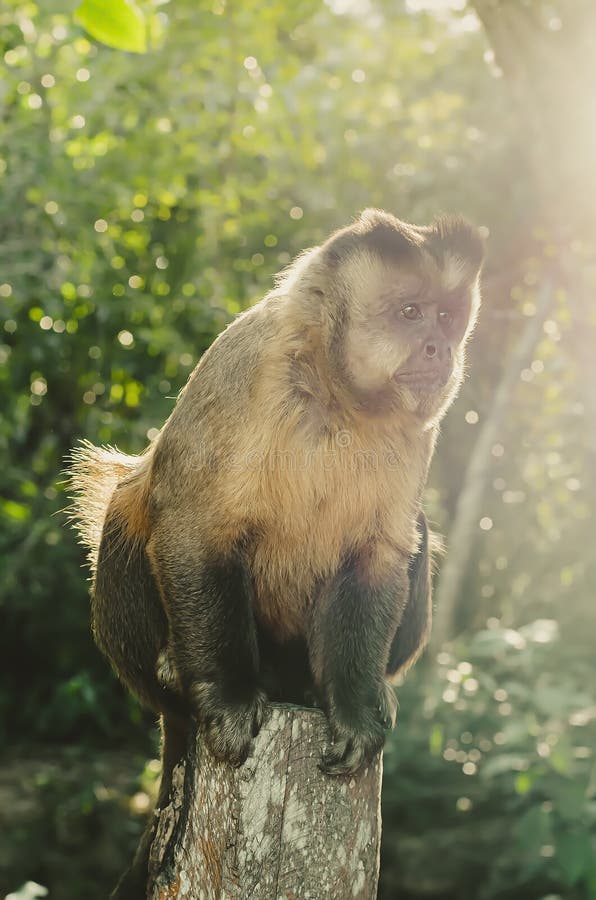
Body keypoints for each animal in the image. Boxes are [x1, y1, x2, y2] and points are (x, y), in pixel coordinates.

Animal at [68, 209, 484, 900]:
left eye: (448, 318)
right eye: (410, 312)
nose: (439, 349)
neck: (337, 394)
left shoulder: (418, 431)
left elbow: (378, 559)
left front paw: (352, 707)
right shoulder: (246, 367)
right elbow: (193, 527)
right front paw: (228, 698)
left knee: (418, 535)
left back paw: (342, 691)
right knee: (129, 506)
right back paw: (179, 681)